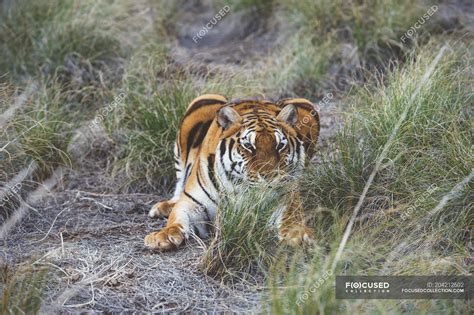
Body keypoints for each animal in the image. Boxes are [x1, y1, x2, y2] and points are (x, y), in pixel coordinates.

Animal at [143, 95, 318, 251]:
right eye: (249, 146)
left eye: (280, 145)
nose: (270, 177)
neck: (240, 186)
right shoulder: (192, 203)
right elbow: (177, 217)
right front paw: (164, 236)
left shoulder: (287, 196)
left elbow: (290, 217)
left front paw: (299, 235)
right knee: (179, 186)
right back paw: (161, 208)